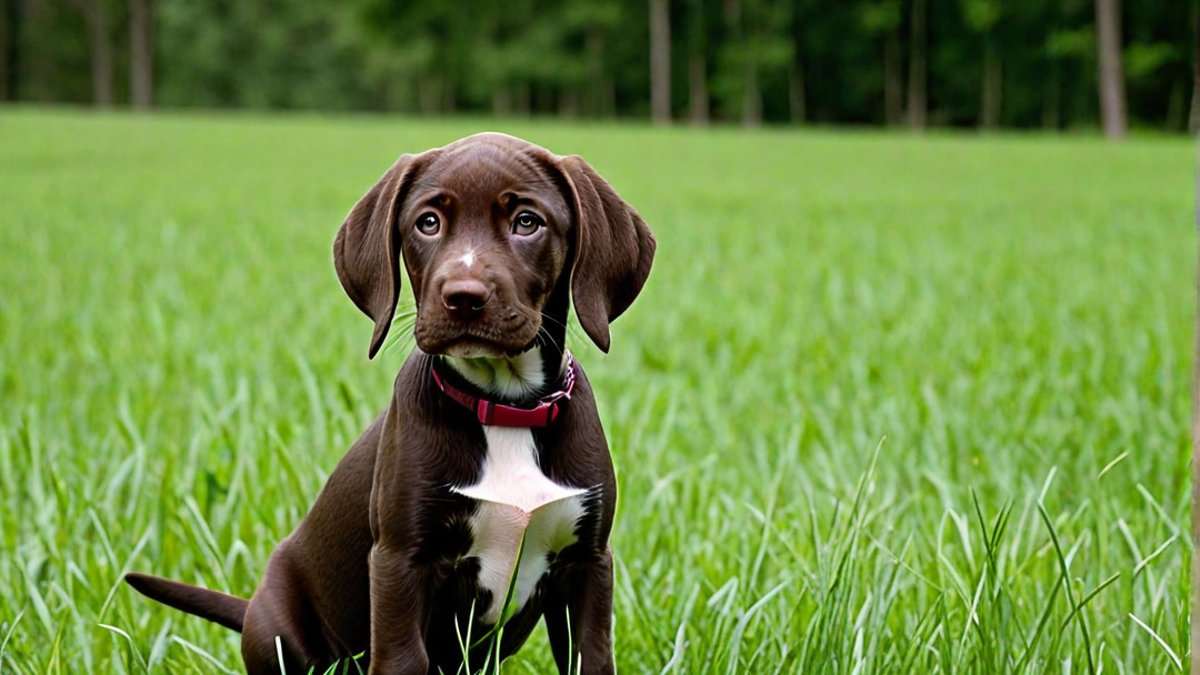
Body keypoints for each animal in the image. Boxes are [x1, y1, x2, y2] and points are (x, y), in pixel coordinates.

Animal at [124, 132, 657, 672]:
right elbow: (402, 659)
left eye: (527, 222)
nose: (463, 297)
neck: (505, 407)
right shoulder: (401, 560)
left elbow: (593, 657)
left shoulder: (587, 562)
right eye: (428, 222)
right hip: (278, 627)